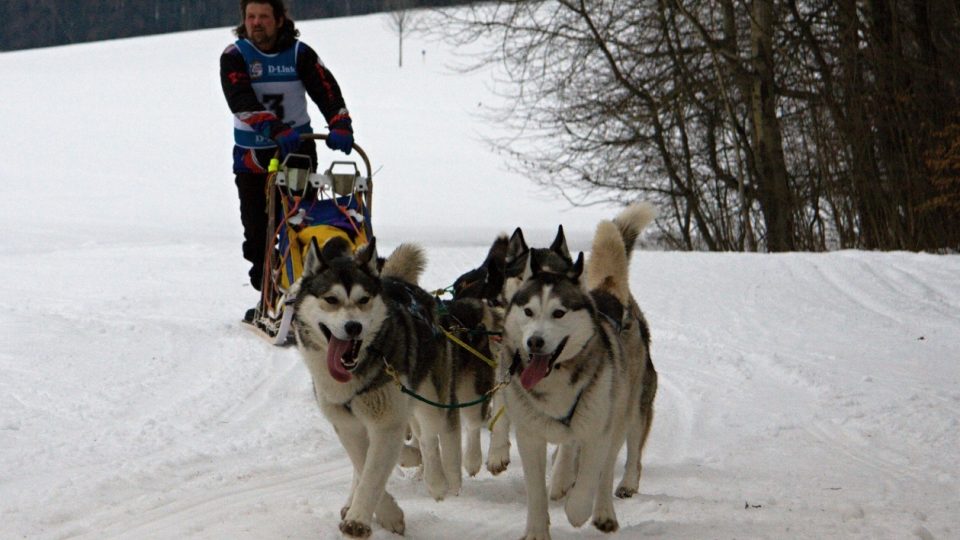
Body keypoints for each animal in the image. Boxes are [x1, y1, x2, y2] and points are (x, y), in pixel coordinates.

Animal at [288, 238, 462, 536]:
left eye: (363, 300)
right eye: (331, 300)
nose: (353, 326)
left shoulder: (387, 421)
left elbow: (373, 471)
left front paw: (360, 519)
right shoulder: (346, 423)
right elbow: (362, 461)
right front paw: (380, 512)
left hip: (428, 397)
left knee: (429, 437)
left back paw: (435, 480)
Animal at [496, 205, 660, 536]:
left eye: (559, 312)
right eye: (528, 310)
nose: (534, 341)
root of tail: (608, 292)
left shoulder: (598, 430)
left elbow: (589, 477)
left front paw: (577, 509)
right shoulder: (529, 433)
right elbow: (536, 489)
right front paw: (537, 530)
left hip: (630, 411)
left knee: (618, 462)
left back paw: (610, 502)